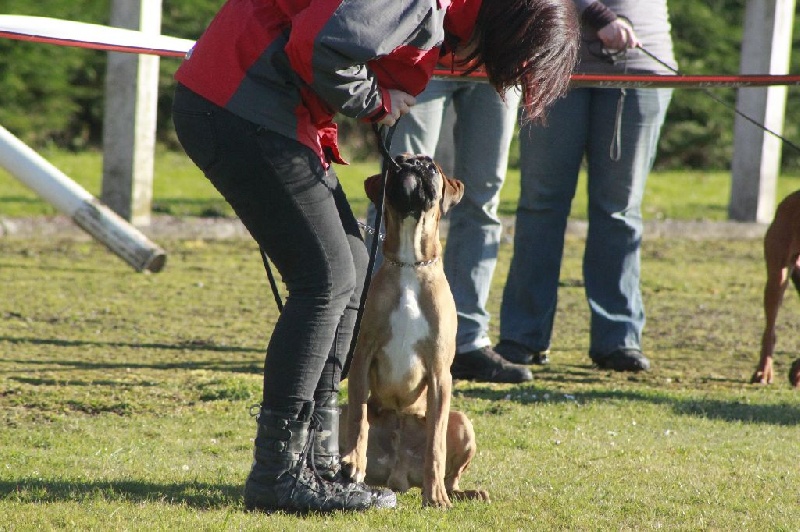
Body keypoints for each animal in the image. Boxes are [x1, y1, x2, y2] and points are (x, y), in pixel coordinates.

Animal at [338, 153, 488, 508]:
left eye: (431, 167)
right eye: (398, 161)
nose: (414, 165)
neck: (409, 265)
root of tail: (399, 476)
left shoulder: (439, 373)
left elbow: (436, 444)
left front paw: (435, 497)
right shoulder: (362, 359)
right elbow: (358, 420)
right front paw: (355, 461)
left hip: (463, 422)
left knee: (451, 475)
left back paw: (460, 492)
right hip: (340, 412)